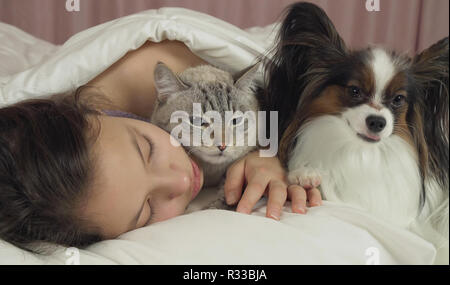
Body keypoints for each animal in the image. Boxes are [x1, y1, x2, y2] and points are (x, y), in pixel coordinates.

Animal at [150, 61, 260, 209]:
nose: (223, 145)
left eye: (236, 120)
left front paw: (216, 206)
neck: (210, 172)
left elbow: (228, 193)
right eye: (198, 121)